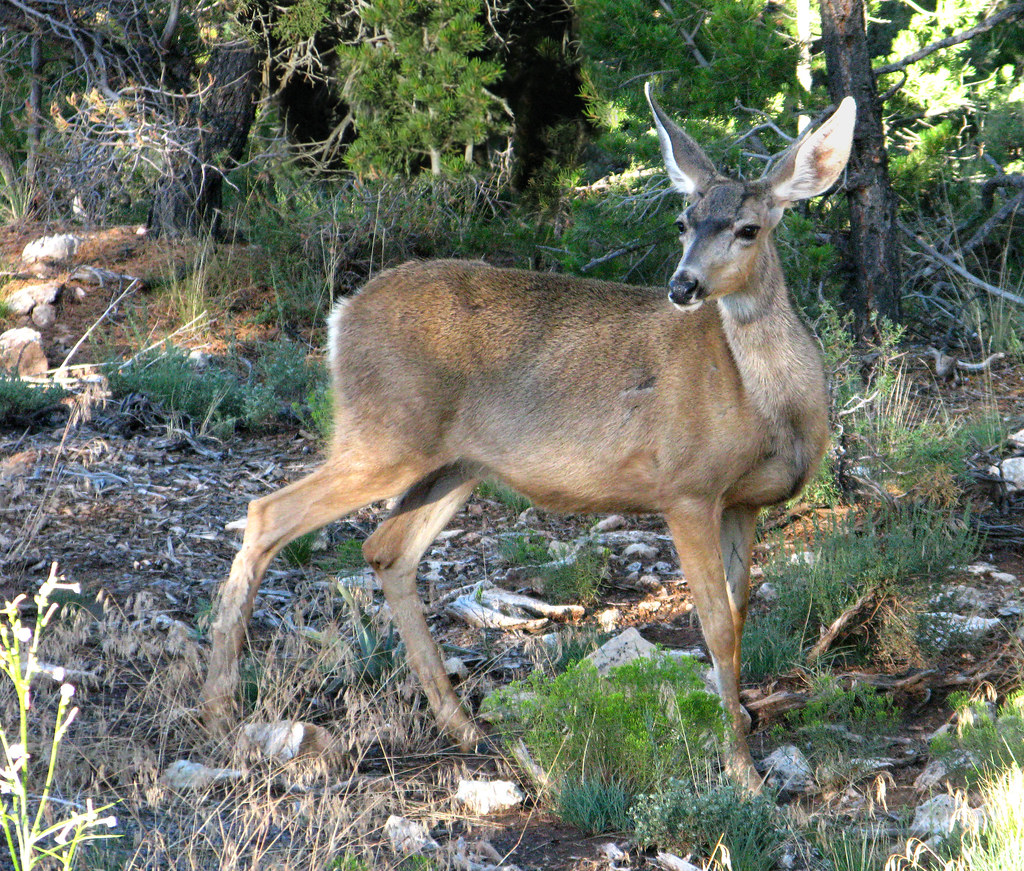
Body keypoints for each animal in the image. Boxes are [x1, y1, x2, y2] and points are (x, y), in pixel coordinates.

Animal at [200, 85, 856, 788]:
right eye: (683, 222)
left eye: (748, 228)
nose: (683, 286)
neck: (767, 406)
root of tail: (340, 315)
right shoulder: (686, 489)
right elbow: (716, 630)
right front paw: (741, 770)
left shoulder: (742, 503)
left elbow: (738, 615)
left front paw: (743, 737)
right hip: (384, 433)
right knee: (268, 514)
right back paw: (220, 716)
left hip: (455, 463)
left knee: (386, 549)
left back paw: (464, 727)